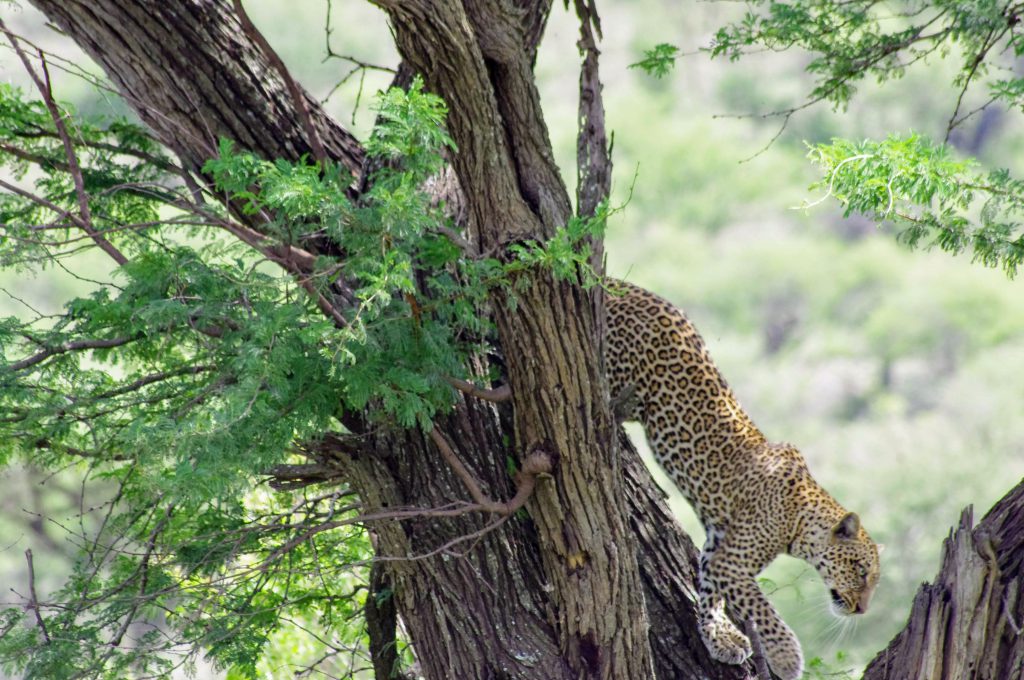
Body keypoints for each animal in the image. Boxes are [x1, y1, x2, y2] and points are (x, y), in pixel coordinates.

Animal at [606, 278, 880, 675]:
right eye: (860, 571)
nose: (862, 609)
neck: (800, 521)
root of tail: (617, 284)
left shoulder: (717, 546)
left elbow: (709, 593)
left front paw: (719, 638)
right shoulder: (732, 562)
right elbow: (761, 608)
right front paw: (786, 657)